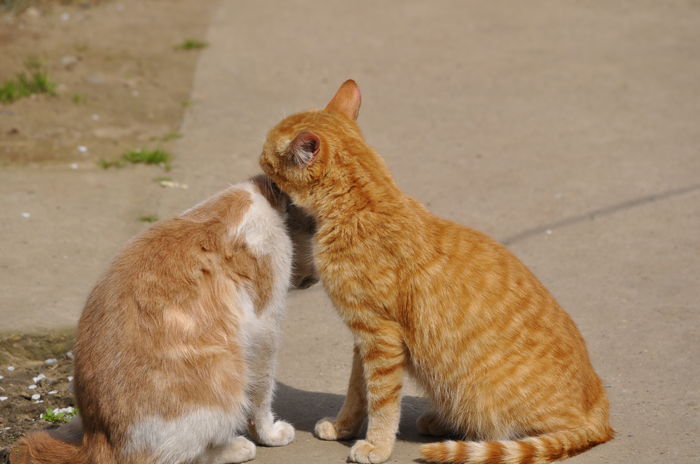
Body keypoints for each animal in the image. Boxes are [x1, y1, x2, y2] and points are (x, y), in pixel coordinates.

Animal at [11, 176, 318, 464]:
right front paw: (269, 434)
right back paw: (235, 447)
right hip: (226, 372)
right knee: (180, 455)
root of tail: (98, 443)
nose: (316, 278)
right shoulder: (265, 327)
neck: (267, 197)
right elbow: (262, 391)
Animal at [258, 81, 612, 462]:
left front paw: (377, 445)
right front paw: (343, 427)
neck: (364, 207)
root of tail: (601, 408)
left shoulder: (380, 336)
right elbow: (357, 391)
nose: (258, 162)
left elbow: (382, 401)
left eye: (266, 157)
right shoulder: (364, 338)